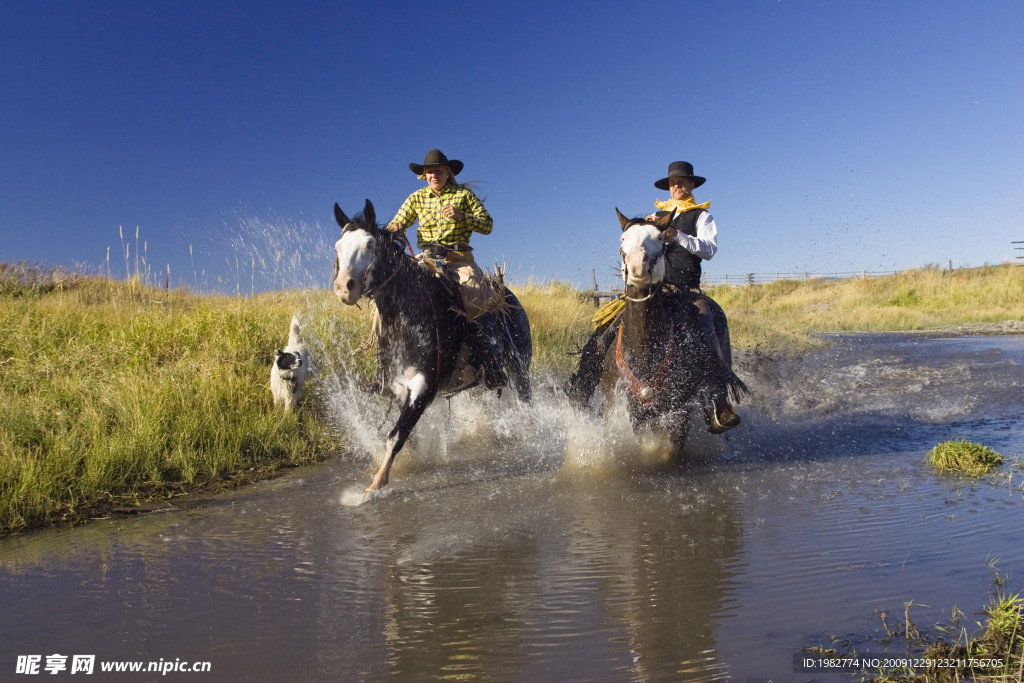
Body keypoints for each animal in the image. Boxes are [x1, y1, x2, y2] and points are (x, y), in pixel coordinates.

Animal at [331, 197, 532, 491]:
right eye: (338, 246)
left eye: (370, 244)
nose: (345, 288)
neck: (407, 317)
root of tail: (508, 296)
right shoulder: (398, 386)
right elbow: (405, 437)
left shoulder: (424, 384)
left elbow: (397, 434)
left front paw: (374, 486)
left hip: (520, 367)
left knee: (526, 400)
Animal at [598, 210, 749, 462]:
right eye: (623, 239)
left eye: (660, 238)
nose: (637, 265)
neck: (645, 350)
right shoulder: (634, 412)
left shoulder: (679, 409)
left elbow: (670, 450)